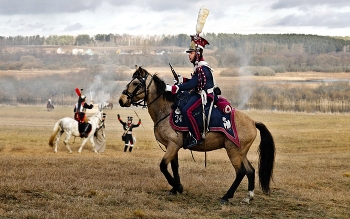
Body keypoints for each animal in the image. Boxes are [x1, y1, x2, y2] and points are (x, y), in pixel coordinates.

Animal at [119, 66, 274, 204]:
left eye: (136, 83)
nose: (122, 100)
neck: (166, 111)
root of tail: (253, 122)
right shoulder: (173, 147)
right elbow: (174, 166)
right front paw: (175, 188)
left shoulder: (173, 145)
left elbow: (163, 166)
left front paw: (177, 186)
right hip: (241, 152)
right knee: (250, 170)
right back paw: (248, 197)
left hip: (233, 151)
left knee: (241, 172)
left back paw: (226, 197)